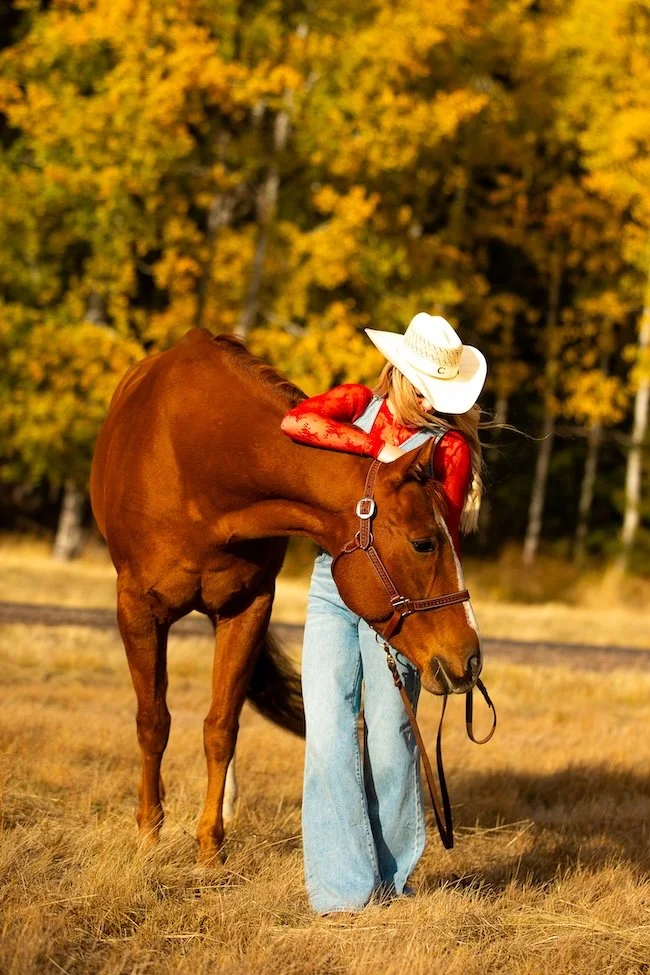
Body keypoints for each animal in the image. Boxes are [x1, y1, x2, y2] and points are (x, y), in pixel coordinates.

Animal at [90, 328, 481, 862]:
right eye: (424, 543)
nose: (470, 660)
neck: (198, 461)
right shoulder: (137, 609)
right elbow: (153, 721)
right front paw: (150, 834)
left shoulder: (247, 607)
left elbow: (221, 726)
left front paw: (210, 848)